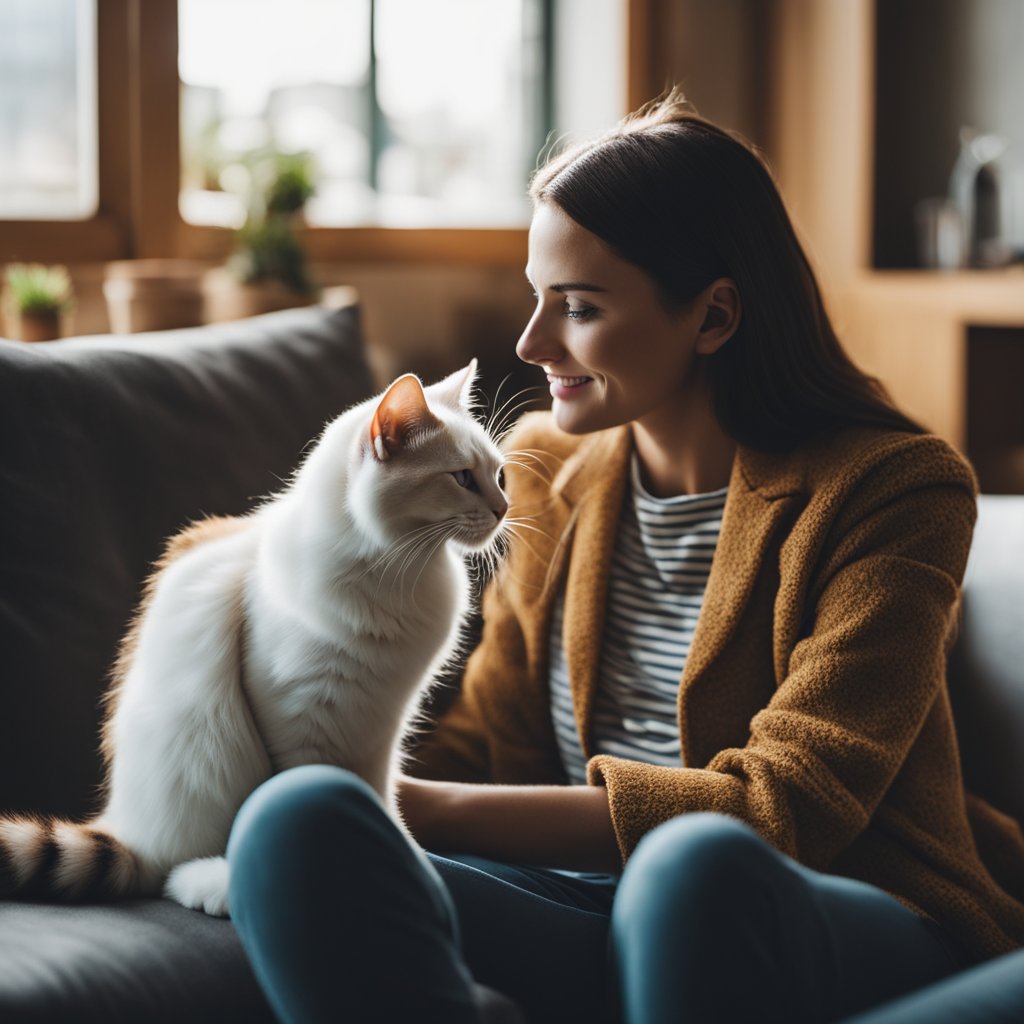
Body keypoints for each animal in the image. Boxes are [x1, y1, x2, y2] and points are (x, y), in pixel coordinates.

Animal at [0, 362, 509, 921]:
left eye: (498, 475)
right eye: (463, 478)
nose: (505, 508)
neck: (395, 574)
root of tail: (126, 830)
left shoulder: (381, 733)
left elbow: (380, 806)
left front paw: (402, 859)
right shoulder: (301, 722)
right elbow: (313, 805)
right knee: (173, 874)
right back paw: (214, 887)